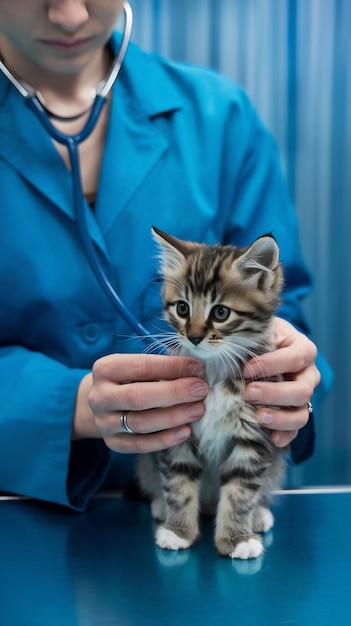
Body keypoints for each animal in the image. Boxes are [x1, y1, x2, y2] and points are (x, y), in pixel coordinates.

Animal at [139, 227, 288, 560]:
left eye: (220, 313)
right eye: (182, 308)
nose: (194, 337)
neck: (215, 366)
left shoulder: (254, 435)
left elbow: (240, 492)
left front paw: (237, 539)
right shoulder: (177, 430)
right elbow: (178, 482)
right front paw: (178, 531)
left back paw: (259, 515)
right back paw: (160, 505)